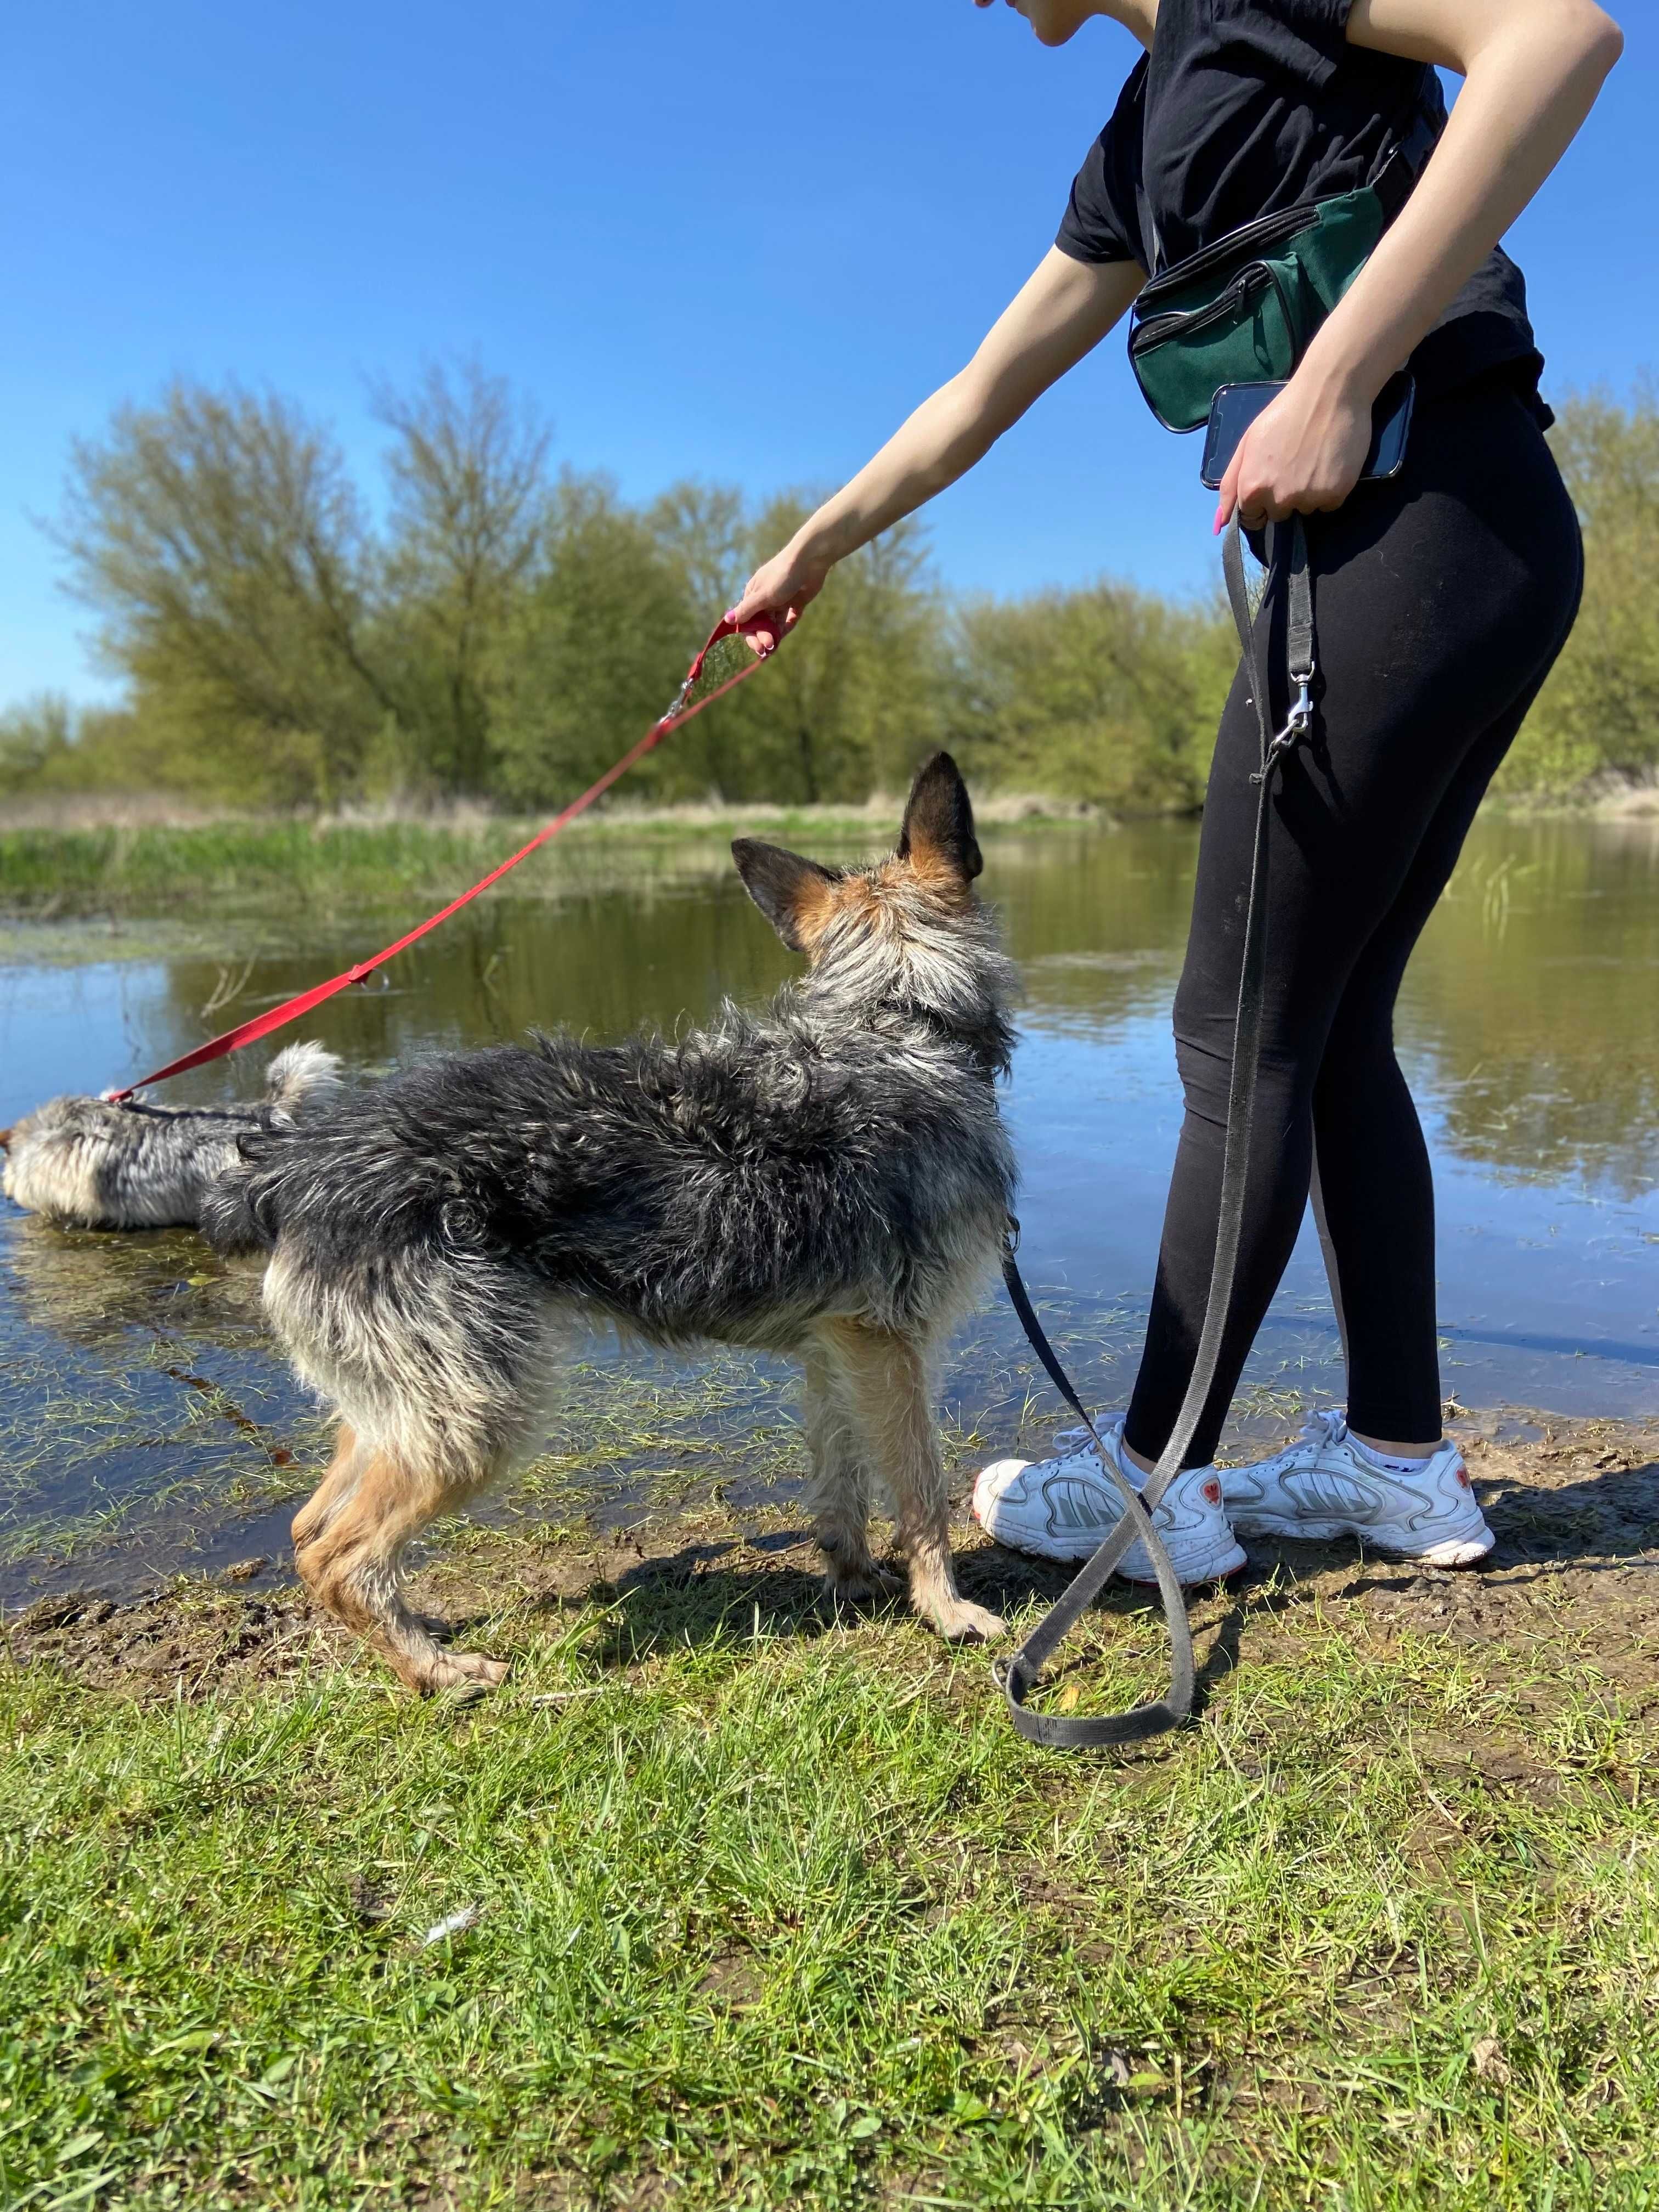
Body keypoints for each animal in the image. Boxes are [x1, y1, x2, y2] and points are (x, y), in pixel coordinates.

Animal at [201, 756, 1022, 1690]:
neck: (897, 1023)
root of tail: (290, 1167)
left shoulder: (836, 1348)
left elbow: (838, 1477)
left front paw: (852, 1578)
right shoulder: (890, 1344)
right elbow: (920, 1490)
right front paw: (947, 1610)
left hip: (402, 1404)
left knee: (308, 1528)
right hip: (473, 1415)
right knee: (340, 1554)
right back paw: (439, 1674)